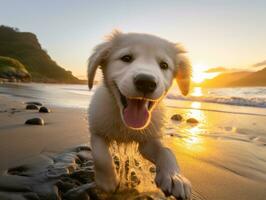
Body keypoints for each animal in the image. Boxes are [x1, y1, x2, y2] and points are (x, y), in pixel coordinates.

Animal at [88, 31, 192, 200]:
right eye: (126, 58)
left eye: (164, 65)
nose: (146, 82)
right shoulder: (97, 130)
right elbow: (101, 155)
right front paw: (107, 181)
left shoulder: (148, 141)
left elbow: (166, 151)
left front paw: (174, 177)